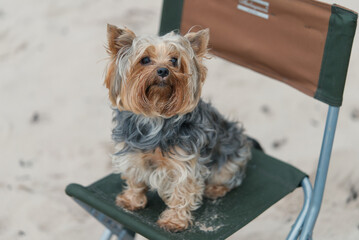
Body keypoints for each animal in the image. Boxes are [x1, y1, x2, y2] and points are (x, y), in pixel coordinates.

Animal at [102, 24, 252, 232]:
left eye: (174, 60)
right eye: (145, 59)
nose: (163, 70)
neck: (155, 116)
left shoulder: (185, 164)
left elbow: (182, 191)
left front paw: (174, 221)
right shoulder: (133, 154)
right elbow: (135, 179)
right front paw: (131, 200)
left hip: (232, 156)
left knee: (230, 176)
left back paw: (215, 189)